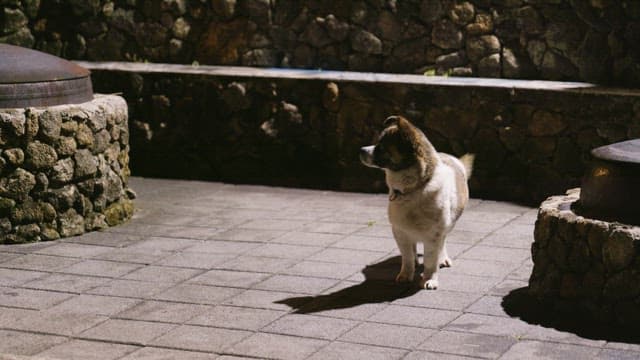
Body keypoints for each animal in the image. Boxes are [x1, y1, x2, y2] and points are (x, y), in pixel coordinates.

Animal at [360, 115, 476, 290]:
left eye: (382, 147)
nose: (360, 150)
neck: (415, 189)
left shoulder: (434, 235)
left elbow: (430, 260)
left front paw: (430, 279)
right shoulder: (400, 231)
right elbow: (407, 257)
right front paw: (406, 274)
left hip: (448, 225)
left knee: (443, 242)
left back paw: (442, 258)